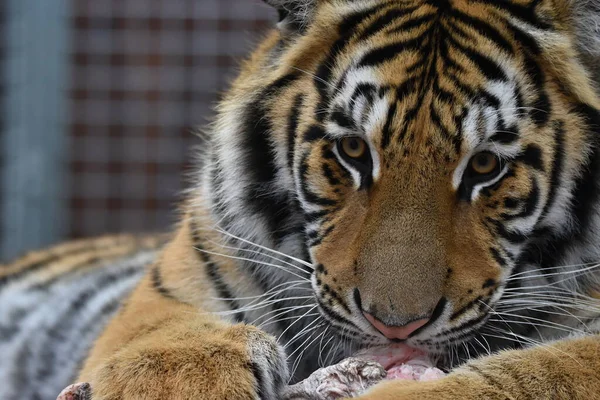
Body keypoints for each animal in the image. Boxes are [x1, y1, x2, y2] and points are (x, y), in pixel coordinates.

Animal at [3, 0, 600, 398]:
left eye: (484, 165)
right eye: (353, 149)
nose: (395, 328)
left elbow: (542, 370)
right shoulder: (179, 282)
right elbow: (163, 339)